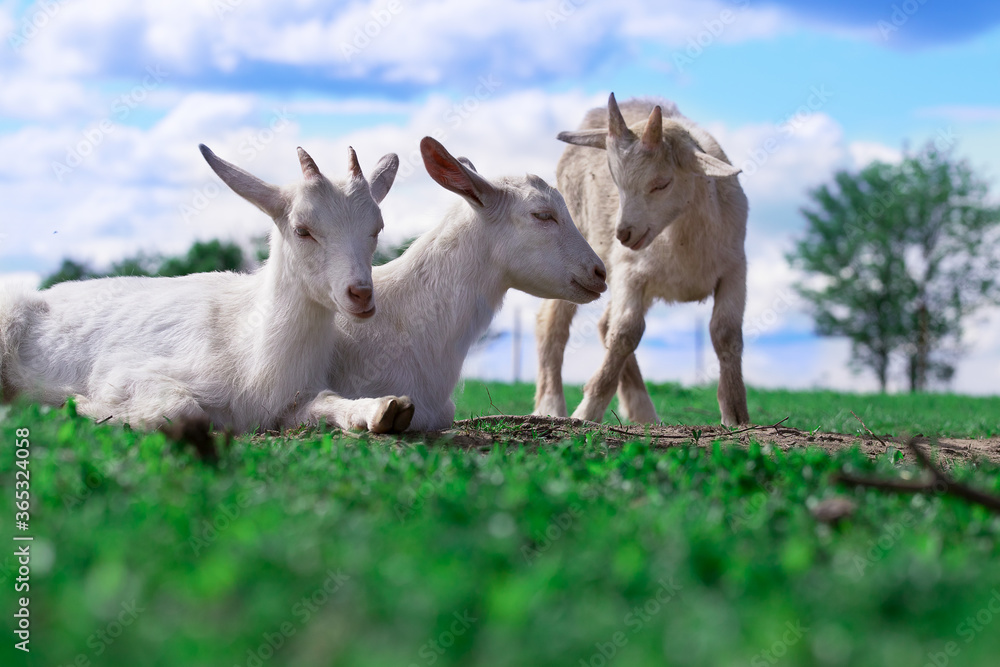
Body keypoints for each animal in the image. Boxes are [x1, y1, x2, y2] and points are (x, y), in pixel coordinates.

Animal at [0, 145, 415, 433]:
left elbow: (327, 402)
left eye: (376, 228)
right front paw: (82, 406)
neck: (246, 346)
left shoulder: (286, 406)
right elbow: (182, 409)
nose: (361, 294)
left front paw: (384, 409)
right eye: (303, 229)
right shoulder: (121, 371)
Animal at [534, 93, 750, 426]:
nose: (624, 233)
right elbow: (626, 333)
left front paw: (736, 415)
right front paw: (587, 411)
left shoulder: (735, 270)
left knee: (603, 323)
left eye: (662, 183)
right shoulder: (629, 272)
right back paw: (551, 405)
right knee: (552, 323)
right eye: (615, 180)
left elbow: (726, 334)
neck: (683, 237)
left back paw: (643, 413)